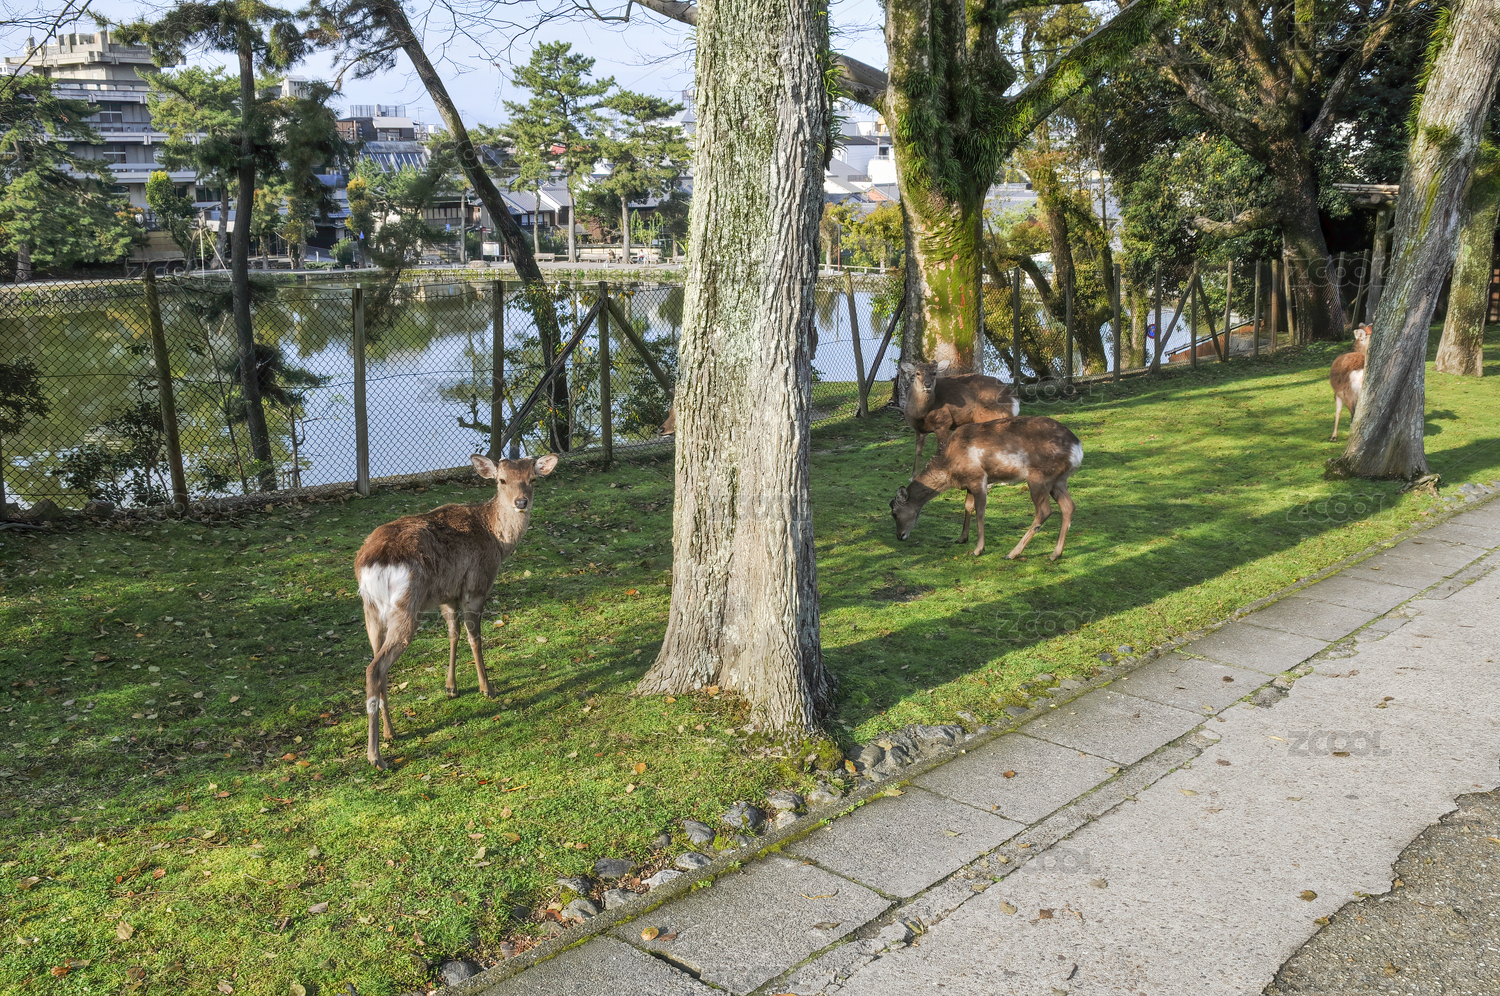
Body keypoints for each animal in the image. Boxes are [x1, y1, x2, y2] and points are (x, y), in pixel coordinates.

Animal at [355, 453, 558, 769]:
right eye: (502, 480)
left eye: (533, 479)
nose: (521, 501)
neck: (497, 540)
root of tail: (372, 563)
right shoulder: (476, 585)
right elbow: (475, 637)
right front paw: (487, 688)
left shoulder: (446, 595)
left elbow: (453, 633)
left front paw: (451, 687)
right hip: (406, 605)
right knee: (376, 668)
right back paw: (376, 756)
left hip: (372, 612)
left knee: (377, 665)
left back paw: (390, 732)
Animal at [890, 416, 1083, 560]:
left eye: (894, 513)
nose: (899, 536)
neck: (950, 466)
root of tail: (1078, 449)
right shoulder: (968, 483)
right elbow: (967, 506)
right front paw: (962, 538)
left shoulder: (978, 477)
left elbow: (980, 510)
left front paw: (978, 549)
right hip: (1058, 480)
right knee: (1069, 506)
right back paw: (1055, 554)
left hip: (1039, 477)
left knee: (1044, 510)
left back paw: (1012, 553)